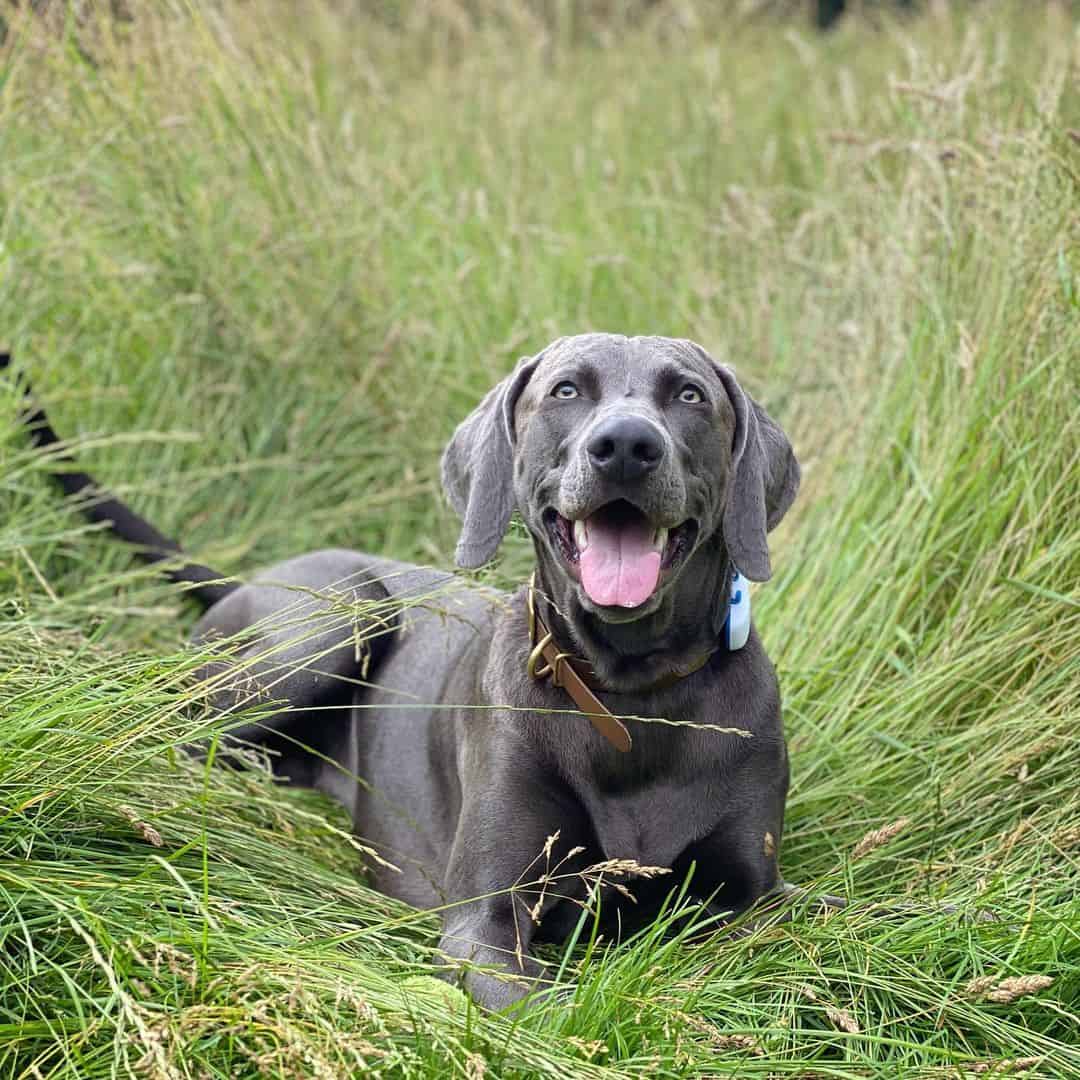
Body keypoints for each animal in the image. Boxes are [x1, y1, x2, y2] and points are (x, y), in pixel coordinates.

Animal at [6, 332, 816, 1006]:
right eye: (567, 390)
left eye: (689, 395)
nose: (624, 444)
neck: (631, 691)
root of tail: (248, 577)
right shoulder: (483, 923)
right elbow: (548, 1008)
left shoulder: (756, 895)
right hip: (341, 615)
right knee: (175, 737)